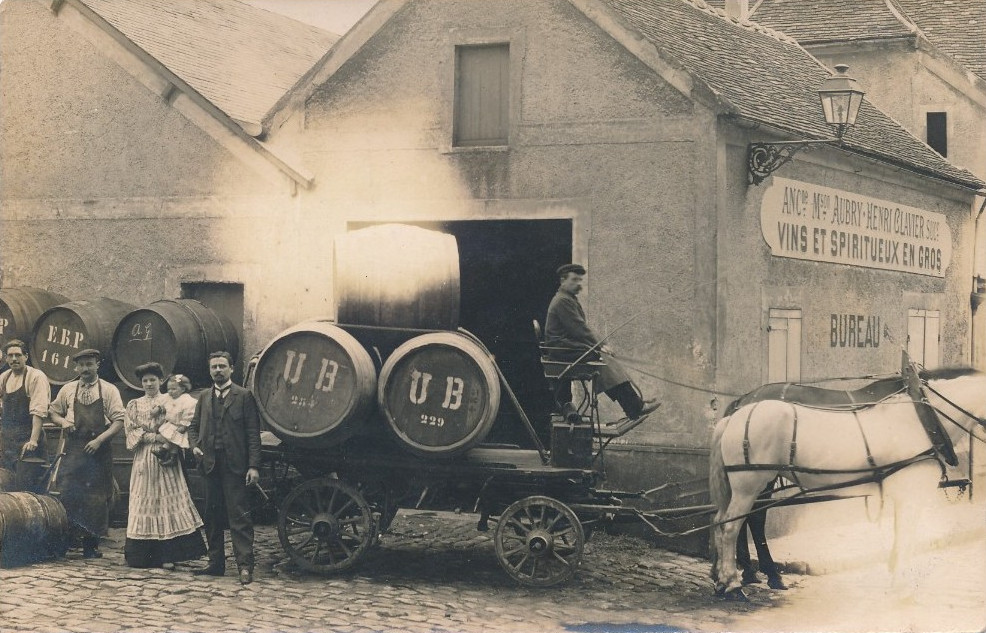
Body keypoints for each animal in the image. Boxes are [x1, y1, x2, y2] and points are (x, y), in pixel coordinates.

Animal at [708, 366, 984, 596]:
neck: (923, 419)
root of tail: (735, 414)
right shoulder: (912, 495)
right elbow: (907, 537)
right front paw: (901, 586)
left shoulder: (902, 496)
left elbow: (900, 535)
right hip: (750, 484)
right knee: (733, 526)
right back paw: (735, 583)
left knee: (724, 521)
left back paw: (727, 578)